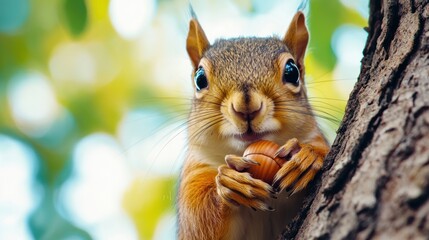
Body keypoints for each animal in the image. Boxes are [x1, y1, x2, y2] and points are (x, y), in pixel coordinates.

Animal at [176, 10, 330, 239]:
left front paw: (307, 156)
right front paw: (230, 182)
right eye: (200, 79)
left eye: (292, 72)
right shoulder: (195, 173)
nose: (246, 107)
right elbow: (199, 223)